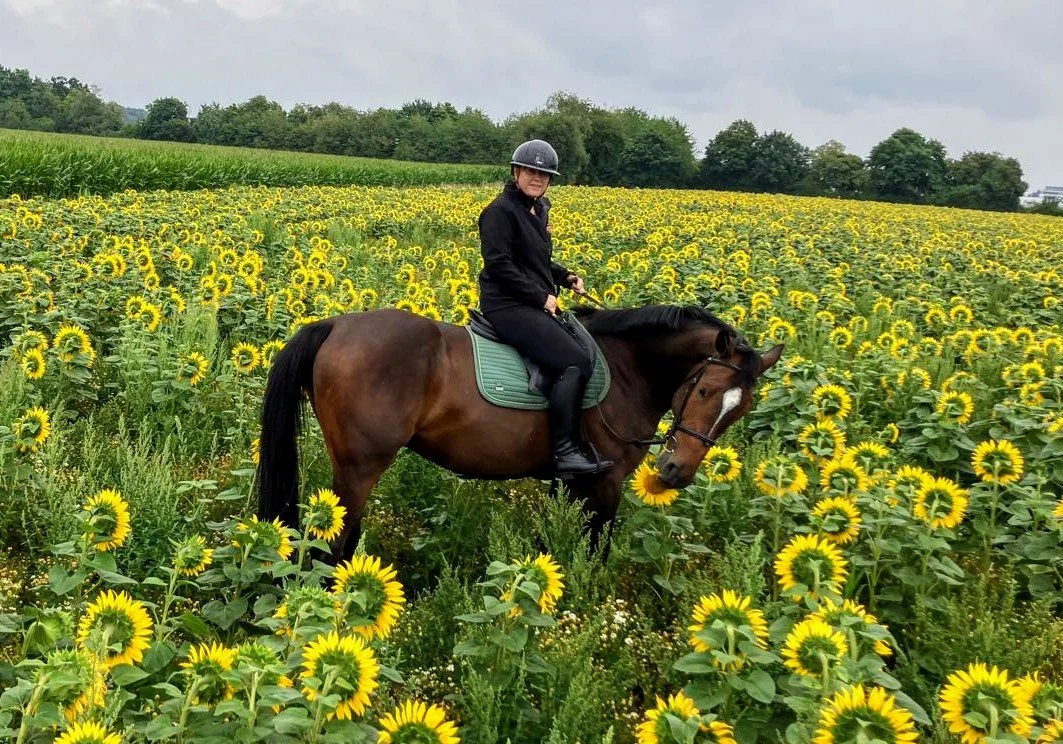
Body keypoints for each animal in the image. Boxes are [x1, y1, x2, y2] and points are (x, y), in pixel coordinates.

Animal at [256, 303, 783, 564]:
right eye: (705, 389)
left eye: (740, 410)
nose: (676, 471)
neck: (625, 368)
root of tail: (334, 325)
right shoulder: (605, 484)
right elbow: (597, 550)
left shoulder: (570, 484)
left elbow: (558, 544)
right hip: (359, 469)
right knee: (334, 542)